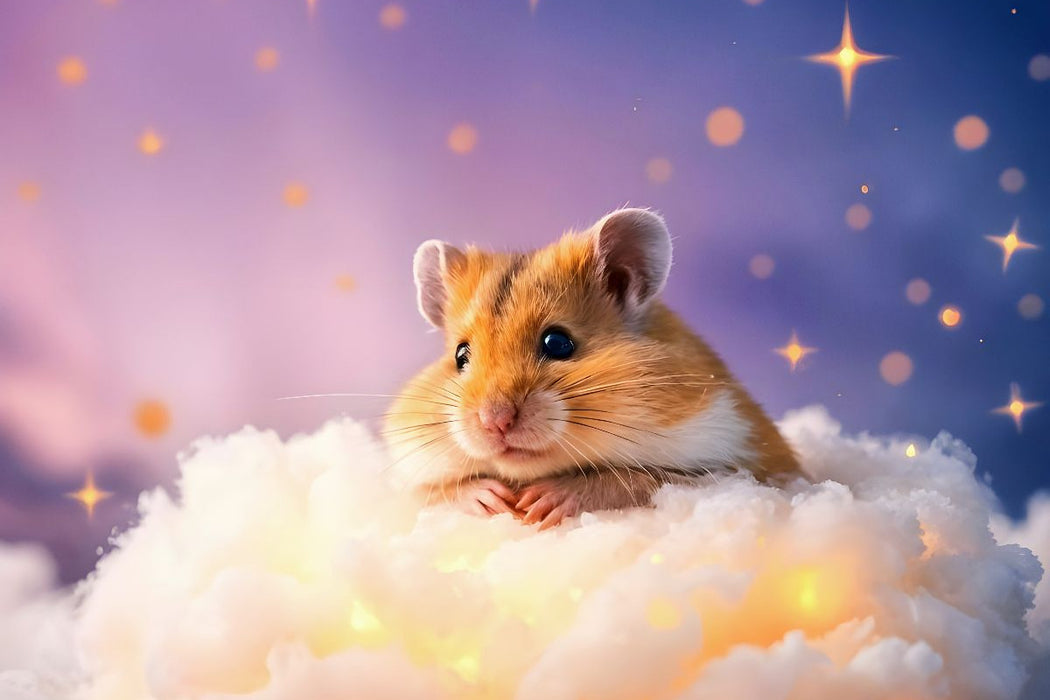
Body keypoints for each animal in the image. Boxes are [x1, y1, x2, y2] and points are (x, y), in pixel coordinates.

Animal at [385, 208, 802, 529]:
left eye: (558, 342)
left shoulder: (733, 468)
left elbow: (632, 479)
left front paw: (541, 504)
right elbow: (434, 491)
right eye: (460, 355)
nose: (494, 421)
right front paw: (492, 500)